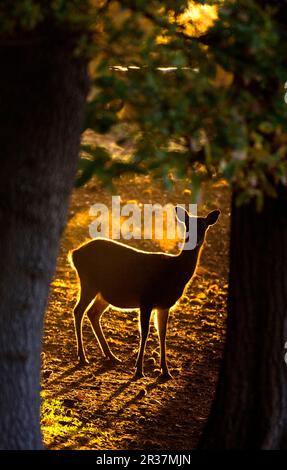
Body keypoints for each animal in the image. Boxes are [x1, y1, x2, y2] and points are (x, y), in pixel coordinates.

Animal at [69, 206, 220, 378]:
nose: (194, 239)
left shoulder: (164, 305)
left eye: (204, 226)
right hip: (88, 282)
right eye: (187, 225)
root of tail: (74, 254)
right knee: (78, 310)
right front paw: (139, 369)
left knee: (93, 313)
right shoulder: (146, 299)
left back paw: (111, 356)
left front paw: (166, 371)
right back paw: (83, 357)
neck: (174, 272)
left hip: (103, 293)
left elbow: (162, 334)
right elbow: (145, 332)